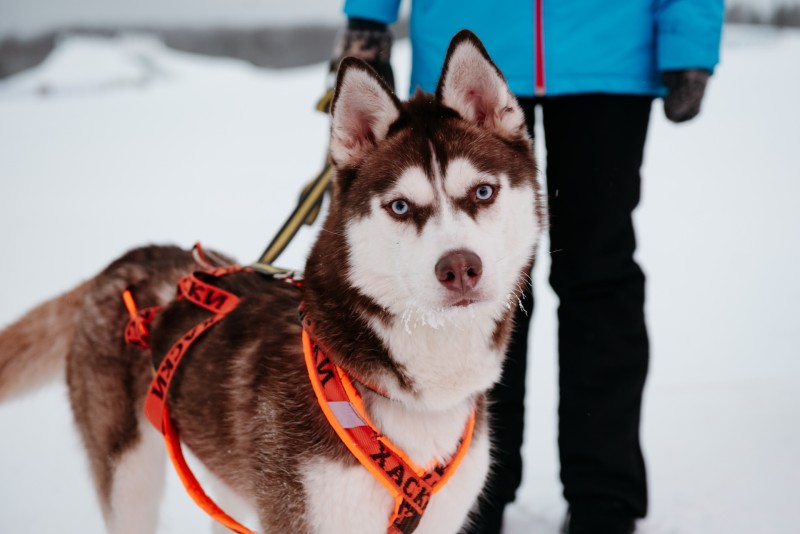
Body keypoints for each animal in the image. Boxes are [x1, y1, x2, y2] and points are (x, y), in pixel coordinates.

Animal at [0, 31, 544, 532]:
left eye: (483, 192)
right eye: (400, 206)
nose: (460, 268)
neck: (420, 395)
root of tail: (124, 260)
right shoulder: (298, 514)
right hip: (130, 477)